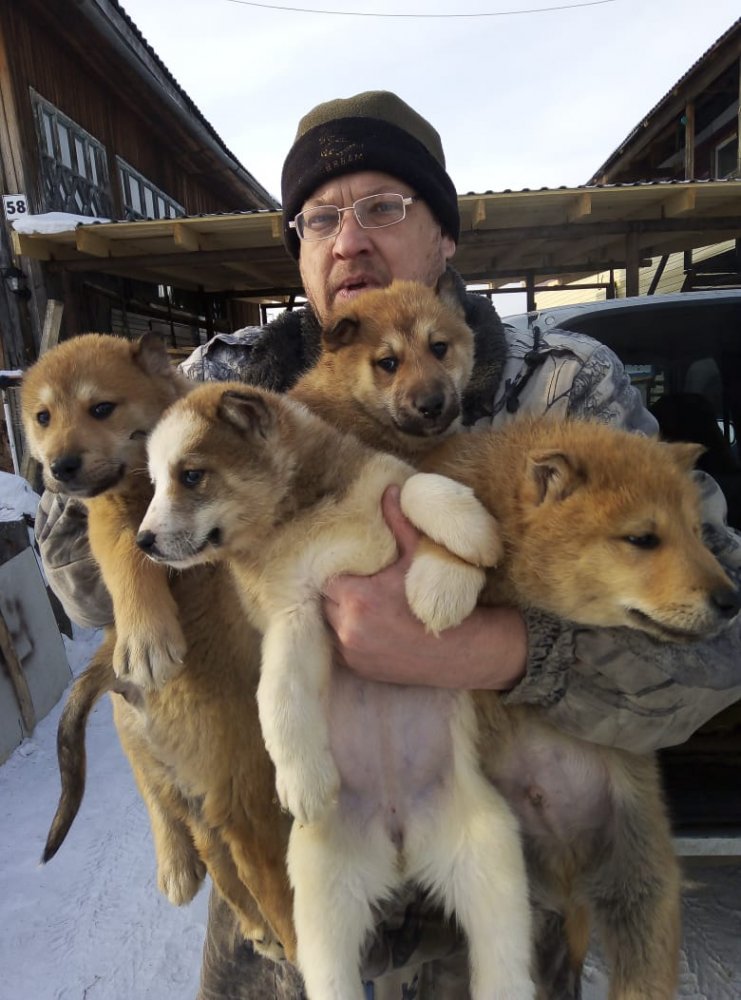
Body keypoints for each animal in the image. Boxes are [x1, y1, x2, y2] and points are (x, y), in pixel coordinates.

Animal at [22, 334, 297, 960]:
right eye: (43, 418)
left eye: (102, 408)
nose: (59, 468)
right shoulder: (112, 517)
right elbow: (125, 550)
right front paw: (147, 638)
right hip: (234, 771)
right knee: (230, 847)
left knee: (214, 842)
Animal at [136, 382, 536, 1000]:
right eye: (154, 482)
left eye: (192, 475)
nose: (143, 542)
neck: (297, 521)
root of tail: (401, 842)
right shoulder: (294, 616)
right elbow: (276, 699)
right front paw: (302, 780)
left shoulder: (392, 486)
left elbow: (422, 488)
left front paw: (449, 572)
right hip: (322, 901)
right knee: (330, 973)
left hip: (493, 865)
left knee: (504, 967)